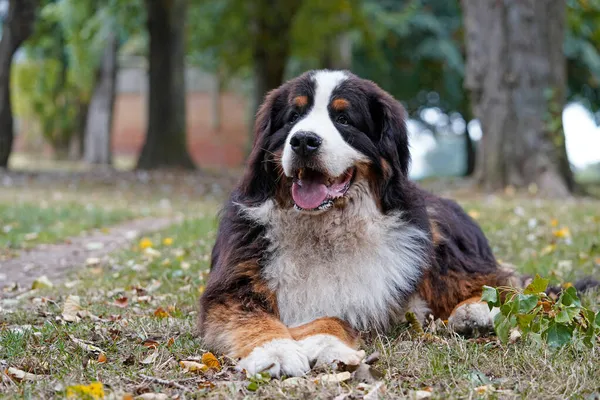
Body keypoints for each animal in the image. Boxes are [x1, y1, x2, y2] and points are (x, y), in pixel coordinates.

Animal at [200, 69, 516, 378]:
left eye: (343, 119)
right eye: (293, 116)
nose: (303, 140)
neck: (323, 229)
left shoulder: (365, 293)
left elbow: (334, 314)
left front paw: (326, 342)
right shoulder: (233, 286)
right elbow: (251, 317)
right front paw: (274, 351)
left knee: (500, 277)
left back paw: (475, 310)